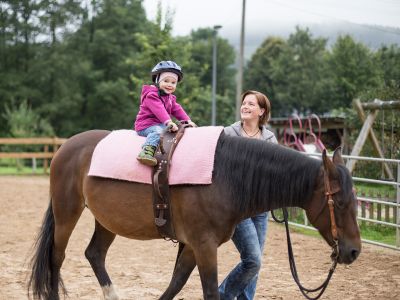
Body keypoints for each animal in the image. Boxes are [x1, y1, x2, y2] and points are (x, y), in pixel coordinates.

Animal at [26, 129, 360, 300]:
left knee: (94, 254)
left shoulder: (191, 245)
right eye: (341, 203)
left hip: (107, 220)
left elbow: (176, 282)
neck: (223, 174)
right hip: (67, 212)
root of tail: (66, 147)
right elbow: (209, 290)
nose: (354, 251)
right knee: (57, 258)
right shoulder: (204, 245)